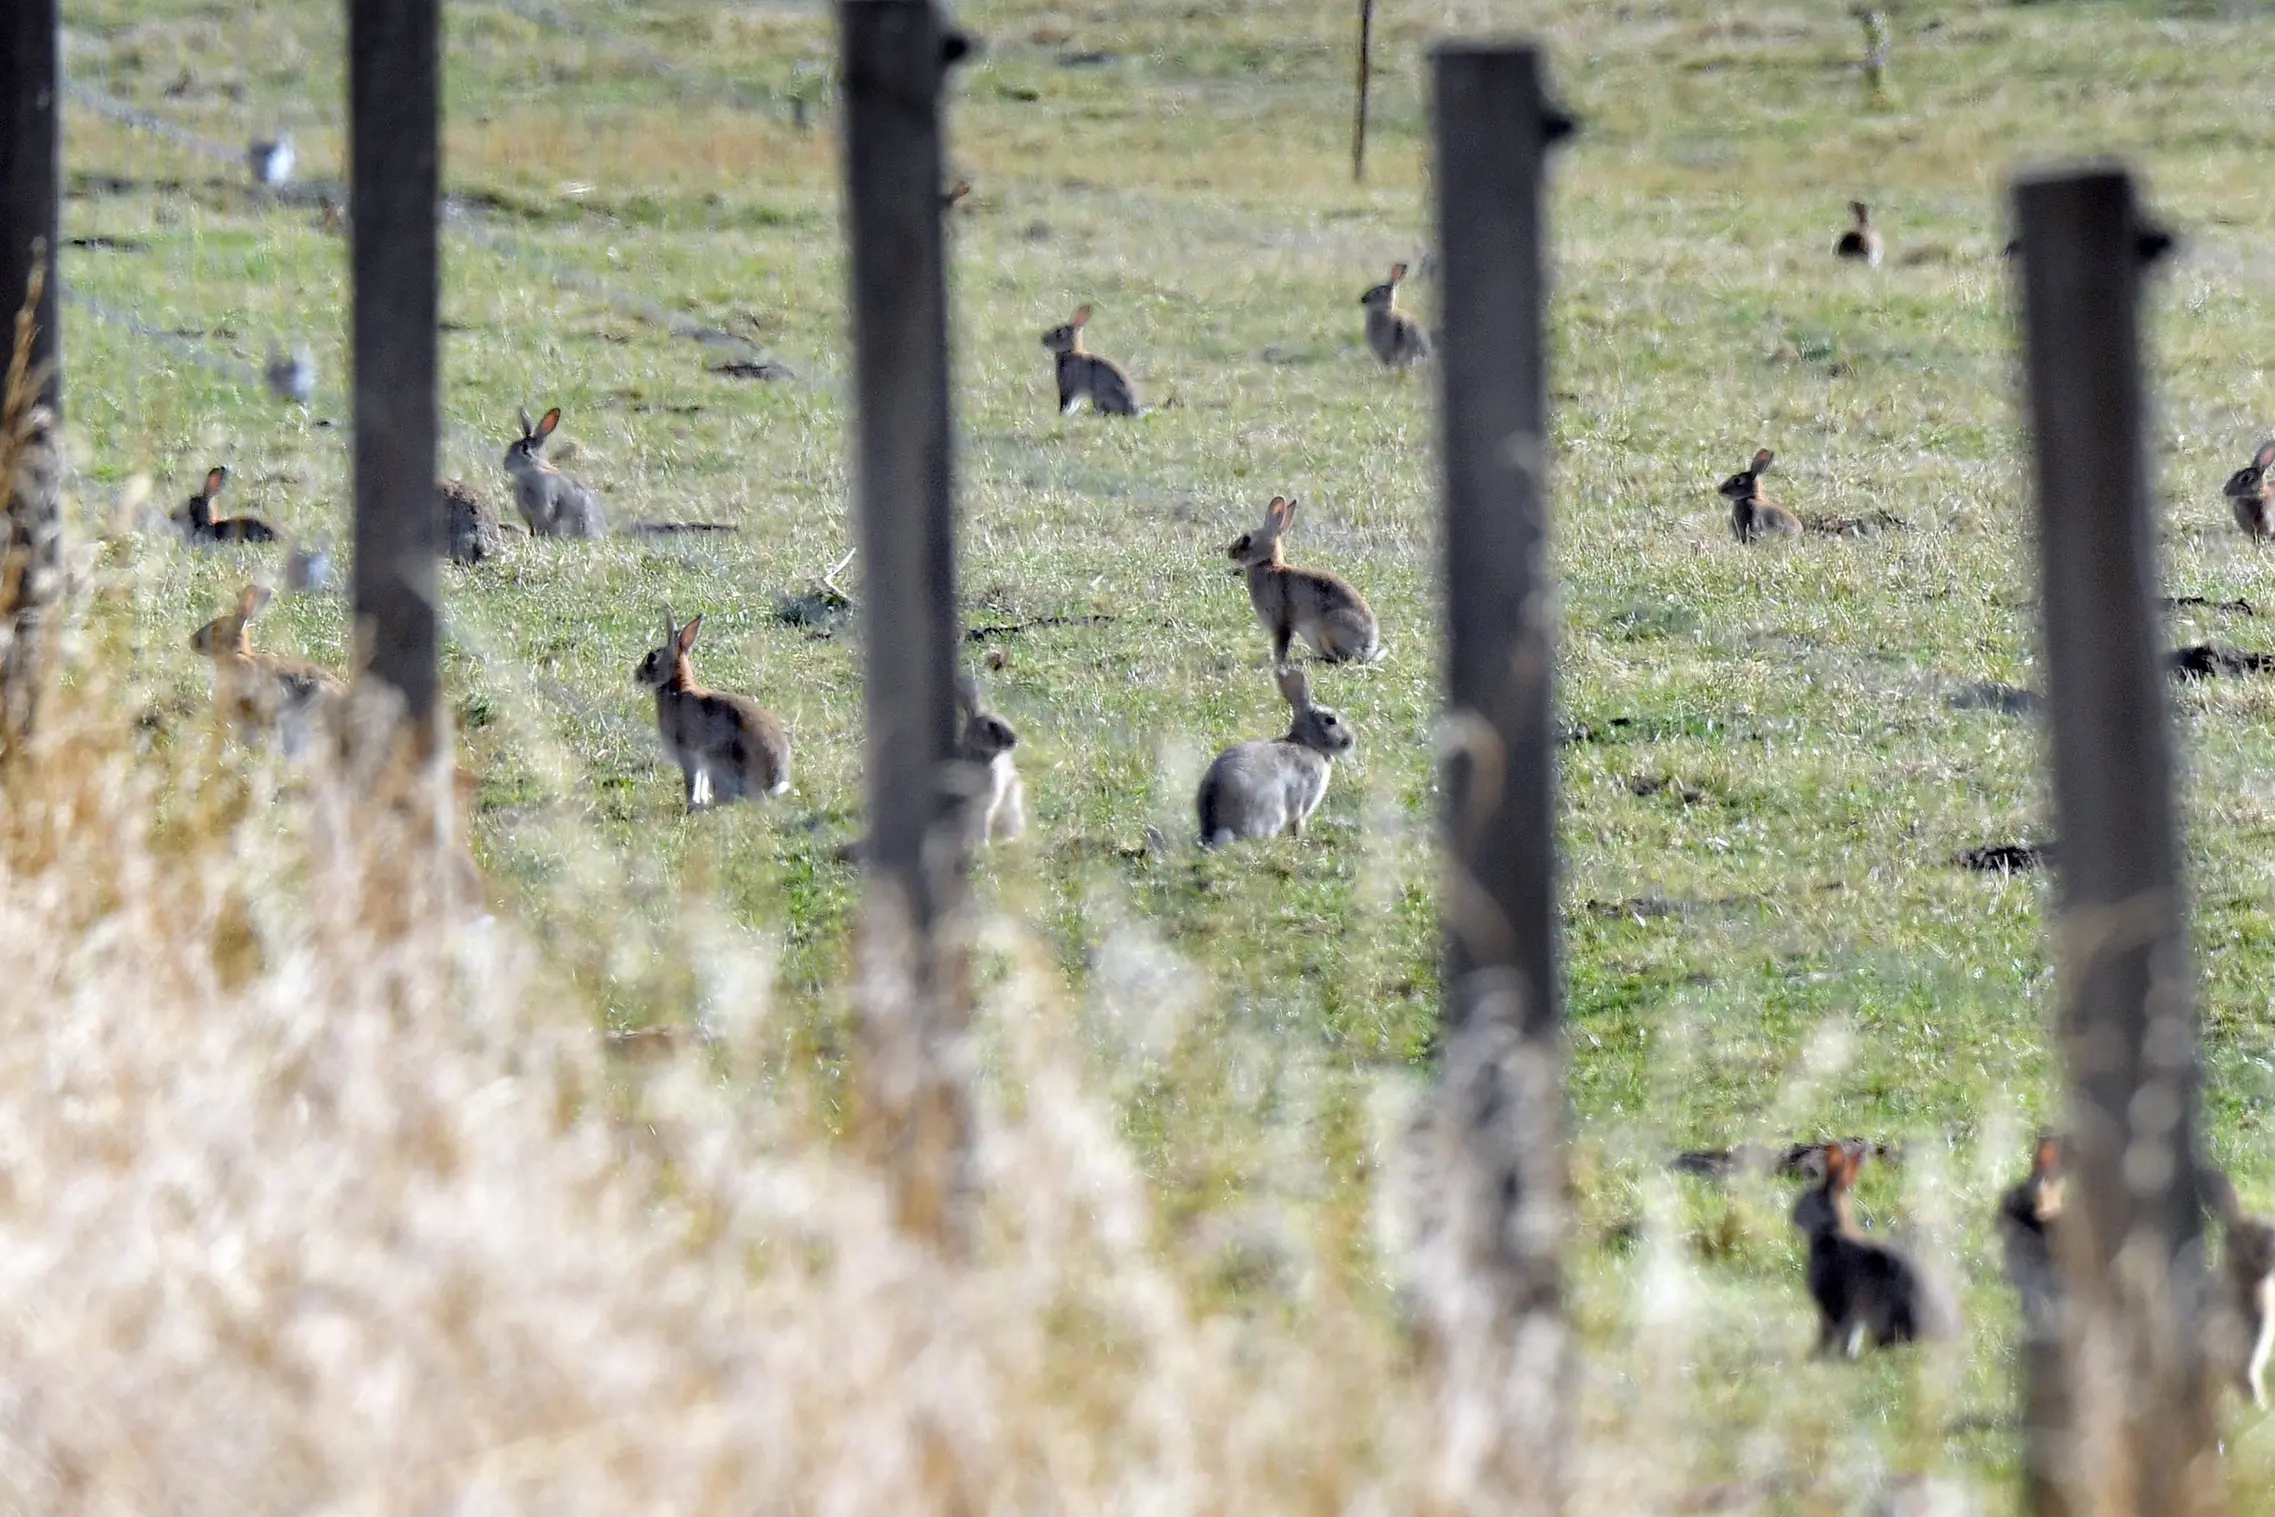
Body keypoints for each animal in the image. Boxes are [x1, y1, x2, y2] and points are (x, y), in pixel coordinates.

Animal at [633, 612, 791, 811]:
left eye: (651, 658)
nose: (636, 675)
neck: (677, 686)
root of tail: (774, 785)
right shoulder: (701, 762)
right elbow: (701, 781)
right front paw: (698, 802)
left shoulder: (688, 752)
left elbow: (692, 780)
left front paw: (691, 804)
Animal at [1197, 664, 1356, 846]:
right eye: (1330, 720)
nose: (1352, 740)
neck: (1308, 743)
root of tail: (1217, 830)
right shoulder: (1304, 796)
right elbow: (1297, 821)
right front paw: (1301, 838)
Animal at [1226, 495, 1382, 664]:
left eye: (1246, 539)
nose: (1229, 552)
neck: (1268, 564)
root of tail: (1368, 648)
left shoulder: (1281, 623)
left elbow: (1282, 645)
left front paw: (1275, 663)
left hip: (1328, 628)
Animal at [1790, 1140, 1955, 1358]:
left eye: (1806, 1198)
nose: (1792, 1217)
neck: (1834, 1229)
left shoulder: (1833, 1302)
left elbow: (1830, 1332)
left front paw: (1818, 1356)